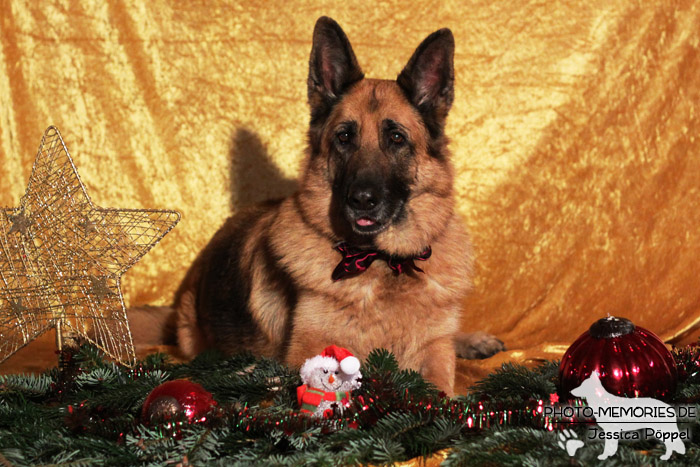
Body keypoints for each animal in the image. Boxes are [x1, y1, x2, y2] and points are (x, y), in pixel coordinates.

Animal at [173, 16, 506, 394]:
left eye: (396, 138)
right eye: (344, 137)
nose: (362, 200)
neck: (382, 261)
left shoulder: (435, 351)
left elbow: (441, 386)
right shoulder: (308, 352)